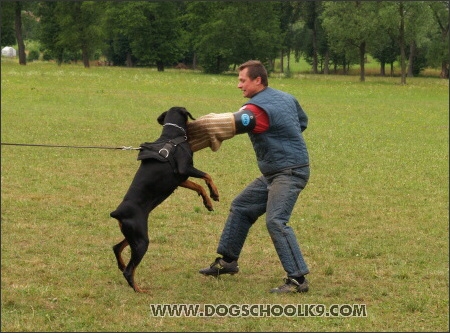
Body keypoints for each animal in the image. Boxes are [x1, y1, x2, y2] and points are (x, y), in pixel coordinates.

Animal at [110, 105, 220, 290]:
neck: (172, 137)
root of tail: (118, 213)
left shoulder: (180, 179)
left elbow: (198, 186)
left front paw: (208, 202)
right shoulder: (185, 168)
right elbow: (207, 175)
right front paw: (215, 193)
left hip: (133, 235)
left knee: (116, 247)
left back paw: (123, 266)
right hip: (141, 240)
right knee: (130, 271)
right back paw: (139, 289)